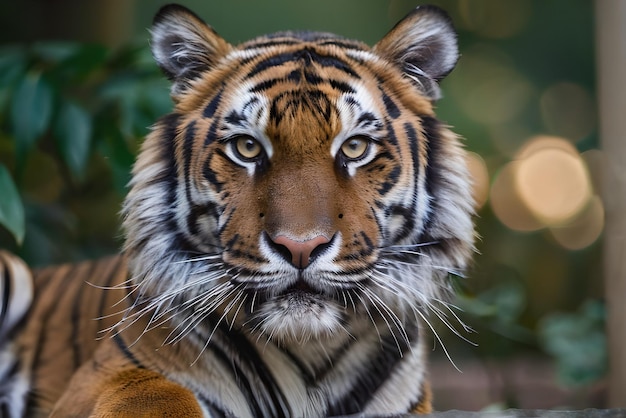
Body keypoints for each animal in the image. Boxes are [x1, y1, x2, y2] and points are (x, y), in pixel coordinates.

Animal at [0, 4, 472, 418]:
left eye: (355, 147)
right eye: (247, 147)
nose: (300, 248)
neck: (309, 349)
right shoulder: (99, 379)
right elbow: (151, 390)